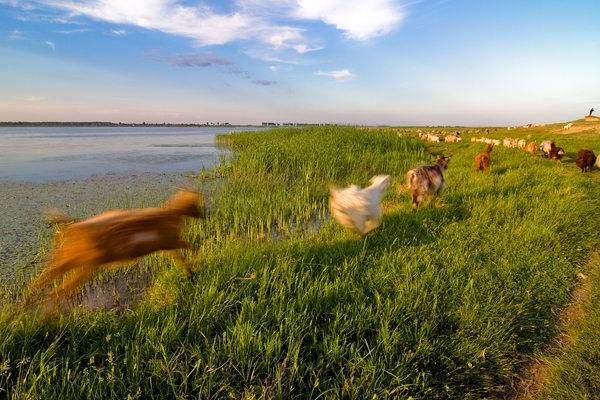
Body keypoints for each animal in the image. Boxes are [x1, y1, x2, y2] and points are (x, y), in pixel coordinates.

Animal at [28, 190, 204, 300]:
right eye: (196, 204)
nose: (204, 215)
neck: (172, 214)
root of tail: (74, 227)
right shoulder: (170, 242)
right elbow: (188, 247)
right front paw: (197, 258)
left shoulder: (165, 246)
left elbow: (178, 257)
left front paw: (190, 272)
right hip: (85, 261)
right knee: (59, 284)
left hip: (78, 260)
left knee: (53, 278)